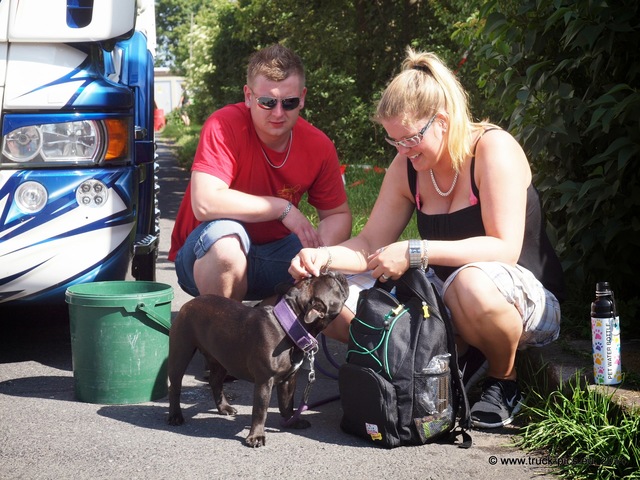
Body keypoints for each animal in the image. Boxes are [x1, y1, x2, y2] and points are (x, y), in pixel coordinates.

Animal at [165, 272, 344, 448]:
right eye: (334, 283)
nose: (337, 273)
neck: (289, 326)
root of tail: (189, 304)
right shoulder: (264, 381)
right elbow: (260, 410)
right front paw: (256, 436)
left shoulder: (289, 379)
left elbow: (287, 403)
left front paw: (292, 421)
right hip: (181, 353)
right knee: (175, 386)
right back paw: (175, 416)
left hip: (221, 360)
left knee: (215, 382)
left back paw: (224, 408)